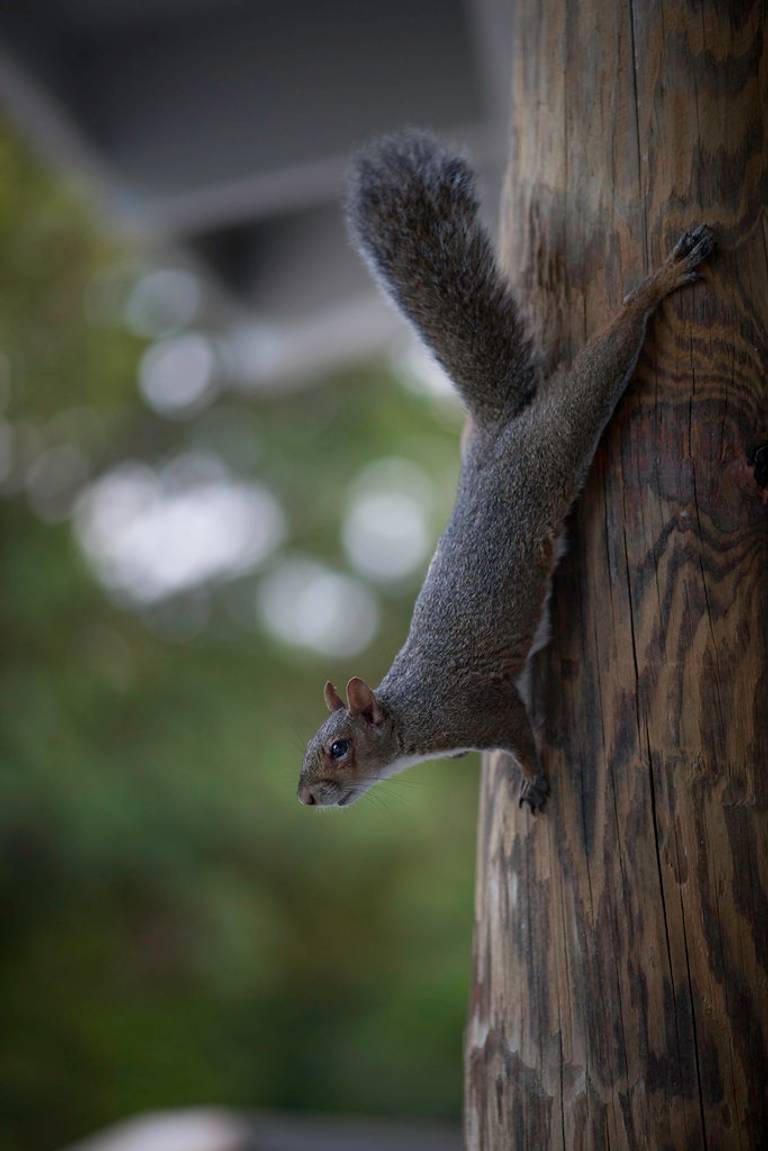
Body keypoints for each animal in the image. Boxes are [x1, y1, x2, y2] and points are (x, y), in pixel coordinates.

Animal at [299, 128, 713, 810]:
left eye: (339, 747)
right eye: (311, 745)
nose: (306, 796)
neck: (411, 720)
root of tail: (497, 438)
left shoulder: (482, 710)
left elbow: (521, 735)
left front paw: (534, 778)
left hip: (553, 444)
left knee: (603, 360)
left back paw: (657, 284)